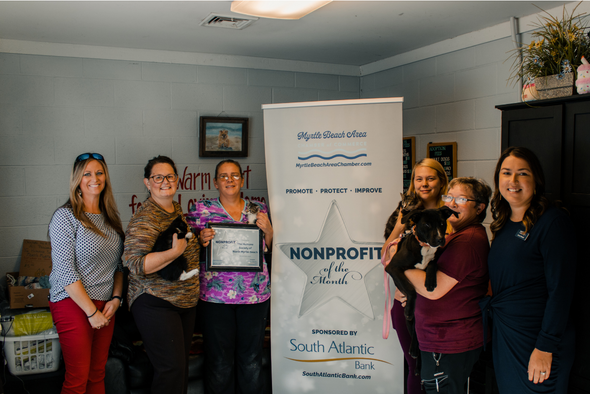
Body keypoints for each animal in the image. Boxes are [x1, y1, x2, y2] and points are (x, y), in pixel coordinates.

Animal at [386, 208, 460, 358]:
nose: (440, 239)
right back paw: (413, 348)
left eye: (442, 223)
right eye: (427, 224)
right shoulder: (393, 267)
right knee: (414, 329)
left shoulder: (433, 258)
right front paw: (409, 308)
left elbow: (432, 263)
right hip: (409, 321)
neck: (425, 247)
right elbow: (410, 289)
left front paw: (430, 281)